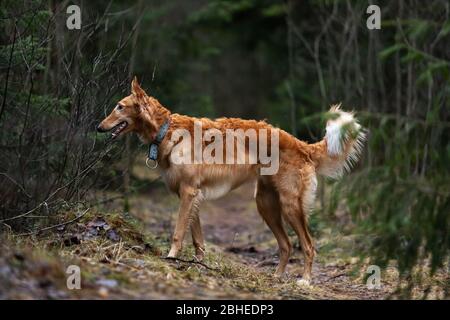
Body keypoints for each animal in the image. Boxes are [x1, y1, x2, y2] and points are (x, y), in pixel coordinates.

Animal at [98, 78, 366, 284]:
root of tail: (302, 146)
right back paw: (277, 277)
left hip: (290, 206)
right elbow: (197, 240)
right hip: (266, 205)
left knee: (308, 246)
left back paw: (305, 280)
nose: (99, 127)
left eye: (119, 107)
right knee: (287, 245)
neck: (167, 131)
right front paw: (197, 265)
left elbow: (177, 233)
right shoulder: (193, 196)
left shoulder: (188, 193)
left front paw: (172, 258)